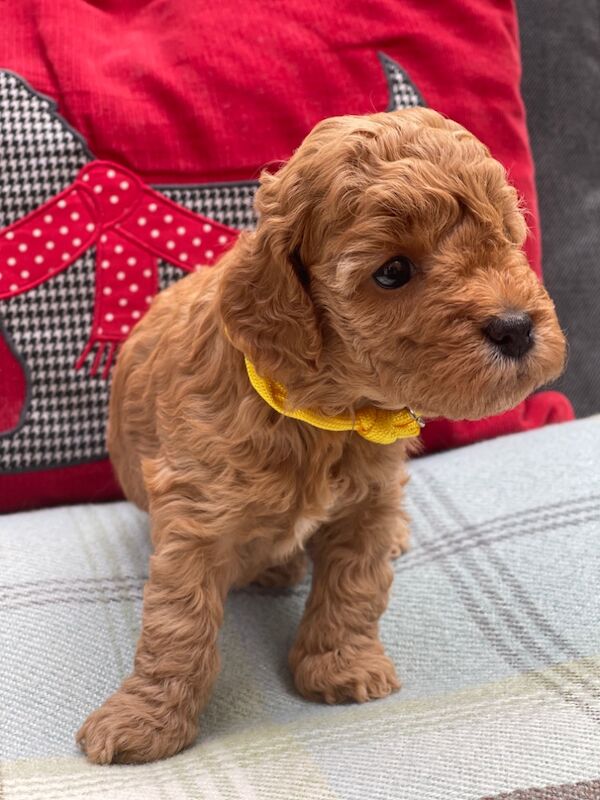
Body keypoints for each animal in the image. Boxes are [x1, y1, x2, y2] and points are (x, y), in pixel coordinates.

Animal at [76, 106, 568, 764]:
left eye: (505, 238)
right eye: (392, 272)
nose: (515, 327)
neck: (326, 414)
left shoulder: (370, 499)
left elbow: (355, 586)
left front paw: (341, 667)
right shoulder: (193, 514)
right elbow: (178, 621)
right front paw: (145, 719)